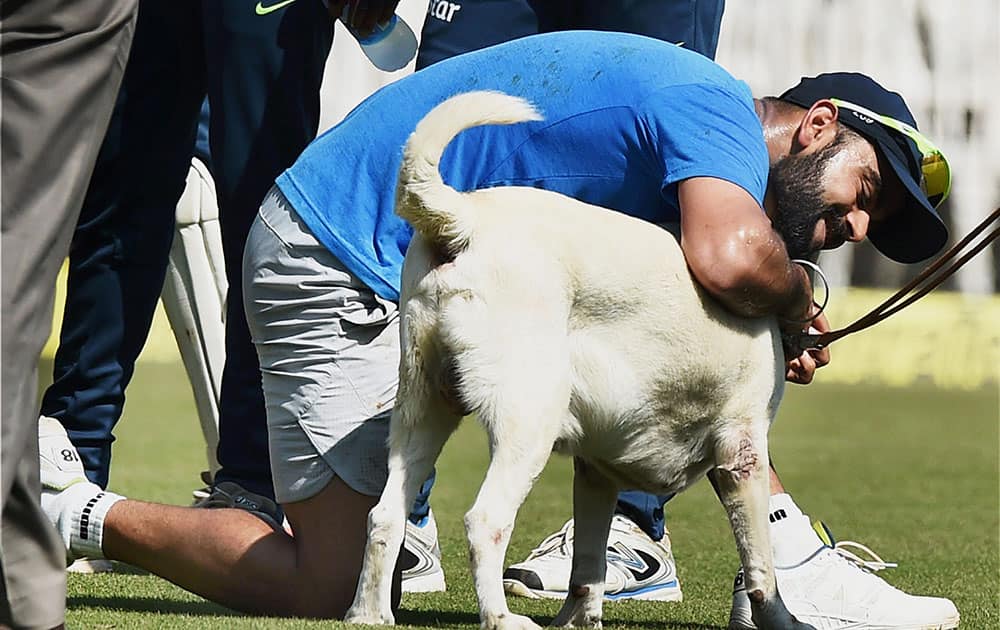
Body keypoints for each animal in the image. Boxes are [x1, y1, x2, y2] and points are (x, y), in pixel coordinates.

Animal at [344, 91, 812, 628]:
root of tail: (465, 220)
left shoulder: (596, 472)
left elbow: (588, 566)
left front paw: (578, 620)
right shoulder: (741, 455)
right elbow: (761, 567)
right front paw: (782, 619)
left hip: (422, 409)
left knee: (385, 516)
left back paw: (367, 614)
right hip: (528, 423)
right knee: (484, 521)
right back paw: (501, 618)